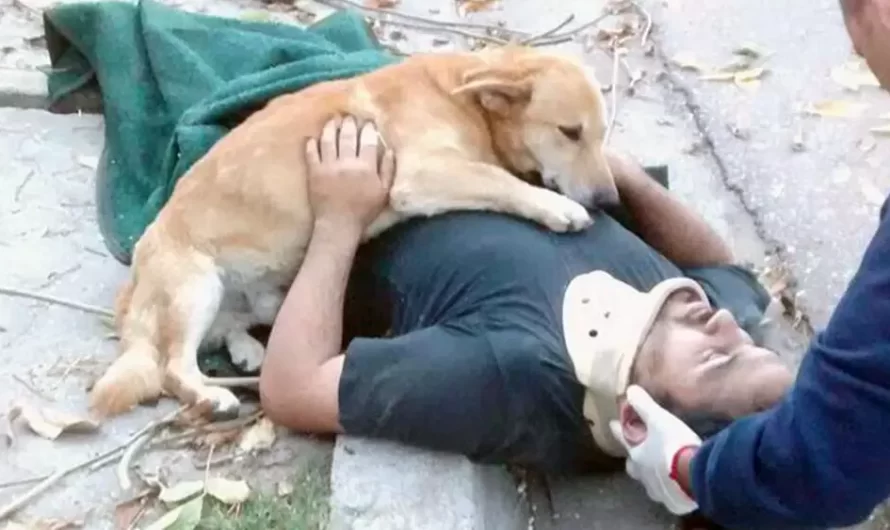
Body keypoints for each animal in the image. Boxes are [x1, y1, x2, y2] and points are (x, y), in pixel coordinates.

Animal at [90, 44, 616, 416]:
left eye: (600, 133)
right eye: (570, 132)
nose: (611, 200)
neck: (466, 100)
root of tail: (132, 288)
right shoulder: (419, 176)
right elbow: (500, 180)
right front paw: (556, 206)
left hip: (258, 297)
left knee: (222, 333)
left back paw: (246, 350)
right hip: (196, 286)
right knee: (172, 366)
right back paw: (211, 395)